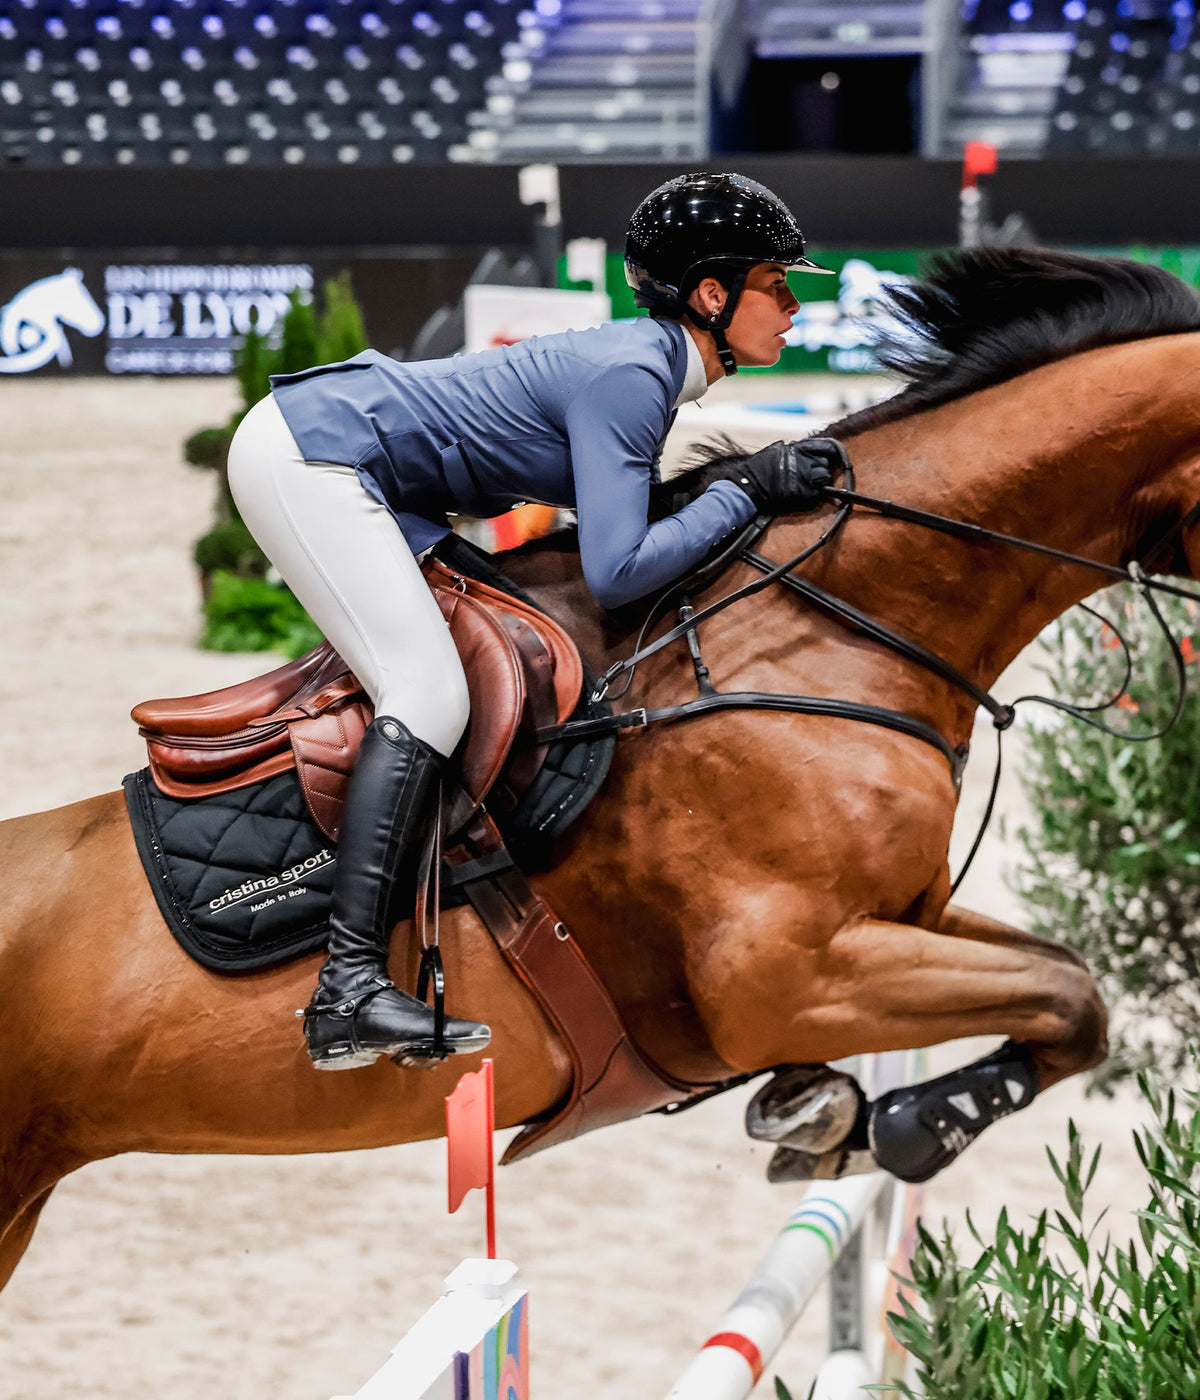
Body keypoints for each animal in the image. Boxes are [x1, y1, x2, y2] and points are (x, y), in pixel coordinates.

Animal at [4, 247, 1199, 1291]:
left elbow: (1074, 994)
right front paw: (905, 1124)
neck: (827, 629)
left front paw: (836, 1116)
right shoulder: (792, 974)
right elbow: (1061, 995)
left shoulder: (903, 920)